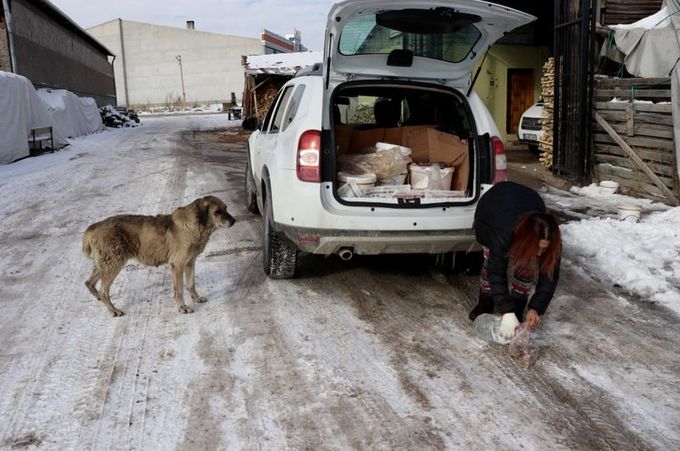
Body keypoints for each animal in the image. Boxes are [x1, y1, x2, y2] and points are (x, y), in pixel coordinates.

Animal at [82, 196, 234, 316]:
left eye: (226, 208)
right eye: (217, 212)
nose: (234, 221)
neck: (194, 225)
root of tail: (93, 227)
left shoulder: (190, 262)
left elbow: (191, 284)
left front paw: (196, 298)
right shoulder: (177, 265)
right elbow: (179, 290)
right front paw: (182, 307)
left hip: (104, 264)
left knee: (89, 282)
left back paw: (99, 298)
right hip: (113, 263)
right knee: (103, 291)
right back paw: (113, 310)